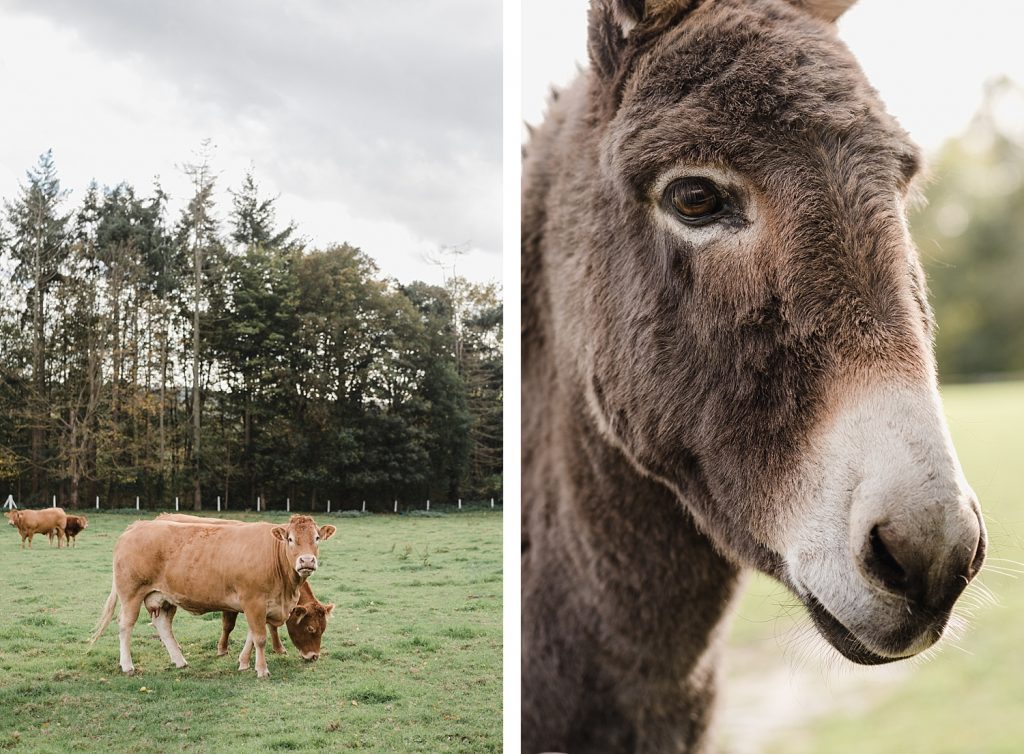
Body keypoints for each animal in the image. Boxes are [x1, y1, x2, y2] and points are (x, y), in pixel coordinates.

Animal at [157, 512, 335, 659]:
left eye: (317, 538)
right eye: (310, 628)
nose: (314, 656)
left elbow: (270, 626)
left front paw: (278, 648)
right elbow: (228, 626)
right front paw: (222, 649)